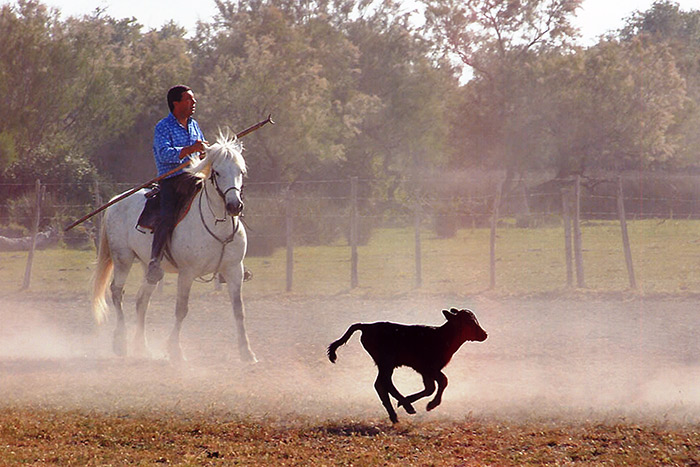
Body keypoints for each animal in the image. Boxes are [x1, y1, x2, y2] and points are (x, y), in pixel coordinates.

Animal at [91, 131, 256, 363]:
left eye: (240, 171)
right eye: (217, 172)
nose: (234, 206)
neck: (216, 224)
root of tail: (116, 201)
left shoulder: (234, 270)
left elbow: (239, 310)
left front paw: (246, 352)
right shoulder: (187, 273)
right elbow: (181, 309)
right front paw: (175, 350)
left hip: (149, 265)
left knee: (142, 300)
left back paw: (142, 347)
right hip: (123, 259)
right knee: (117, 292)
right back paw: (121, 343)